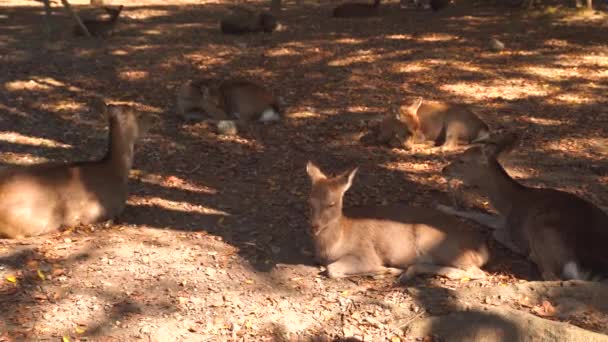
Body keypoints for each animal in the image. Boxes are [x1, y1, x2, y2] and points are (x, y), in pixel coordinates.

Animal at [304, 162, 490, 282]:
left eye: (331, 203)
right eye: (310, 201)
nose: (314, 227)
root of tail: (484, 250)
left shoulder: (365, 253)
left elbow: (332, 269)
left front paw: (382, 270)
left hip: (437, 242)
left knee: (477, 272)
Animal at [442, 132, 608, 280]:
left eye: (462, 160)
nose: (444, 170)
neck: (508, 204)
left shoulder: (514, 227)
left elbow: (496, 232)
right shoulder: (503, 219)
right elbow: (477, 215)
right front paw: (445, 207)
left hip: (542, 228)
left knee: (551, 276)